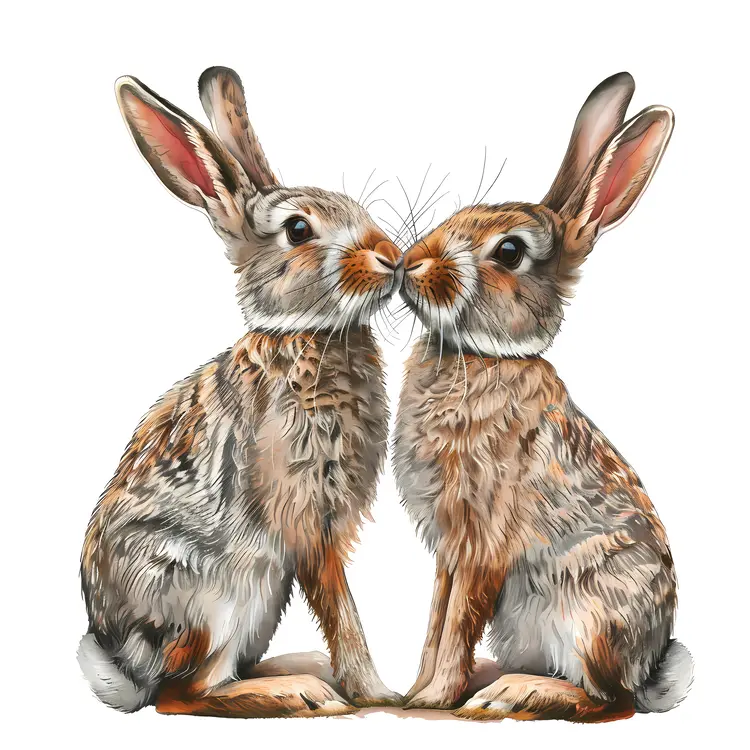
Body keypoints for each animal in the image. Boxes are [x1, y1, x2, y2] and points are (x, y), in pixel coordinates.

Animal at [78, 67, 403, 718]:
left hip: (260, 598)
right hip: (220, 592)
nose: (391, 256)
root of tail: (125, 664)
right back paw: (298, 691)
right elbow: (341, 608)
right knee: (185, 694)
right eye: (298, 230)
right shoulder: (306, 515)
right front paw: (377, 691)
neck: (303, 335)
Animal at [393, 72, 693, 721]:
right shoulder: (449, 549)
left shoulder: (483, 540)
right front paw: (414, 691)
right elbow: (436, 619)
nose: (411, 263)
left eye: (509, 252)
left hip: (588, 616)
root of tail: (647, 668)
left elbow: (457, 623)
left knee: (604, 700)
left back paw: (512, 693)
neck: (486, 357)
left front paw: (437, 698)